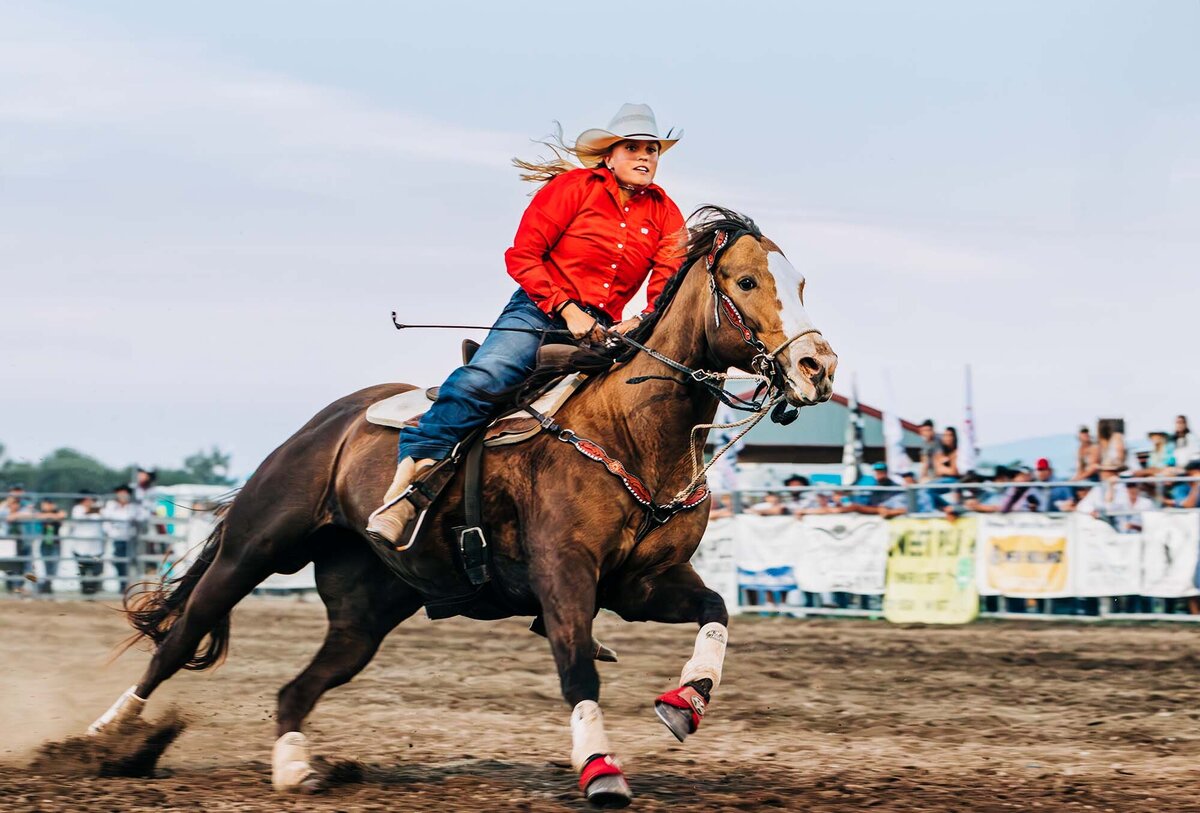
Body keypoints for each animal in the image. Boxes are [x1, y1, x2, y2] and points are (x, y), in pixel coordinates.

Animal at [87, 205, 835, 810]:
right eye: (746, 282)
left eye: (800, 283)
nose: (818, 367)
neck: (629, 428)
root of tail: (324, 425)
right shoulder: (563, 575)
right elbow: (577, 666)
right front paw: (599, 768)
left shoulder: (641, 583)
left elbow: (716, 609)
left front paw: (686, 701)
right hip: (254, 548)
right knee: (180, 637)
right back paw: (107, 736)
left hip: (366, 610)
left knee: (296, 688)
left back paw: (295, 770)